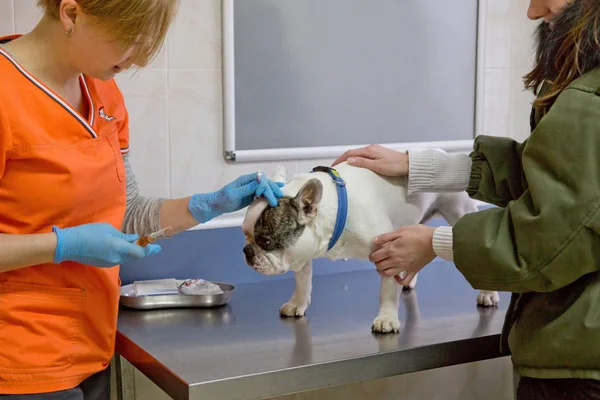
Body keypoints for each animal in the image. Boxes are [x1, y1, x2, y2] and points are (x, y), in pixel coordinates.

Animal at [241, 161, 500, 332]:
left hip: (458, 210)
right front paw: (297, 303)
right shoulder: (301, 253)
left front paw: (386, 318)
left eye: (265, 241)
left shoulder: (388, 251)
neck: (335, 212)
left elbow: (387, 291)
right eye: (244, 234)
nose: (247, 252)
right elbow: (303, 282)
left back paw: (487, 293)